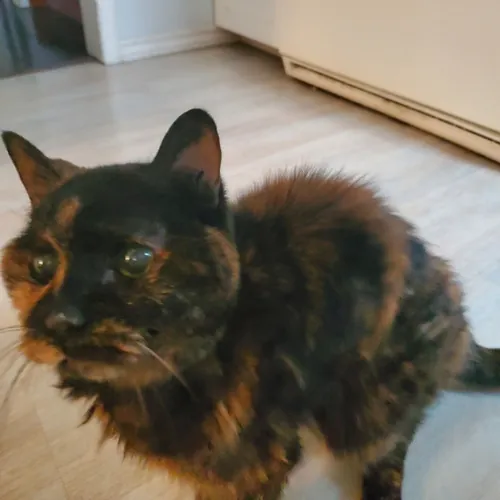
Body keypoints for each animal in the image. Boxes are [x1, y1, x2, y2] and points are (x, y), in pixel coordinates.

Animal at [1, 108, 499, 500]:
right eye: (42, 264)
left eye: (135, 258)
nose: (60, 319)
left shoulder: (258, 463)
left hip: (367, 404)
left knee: (393, 441)